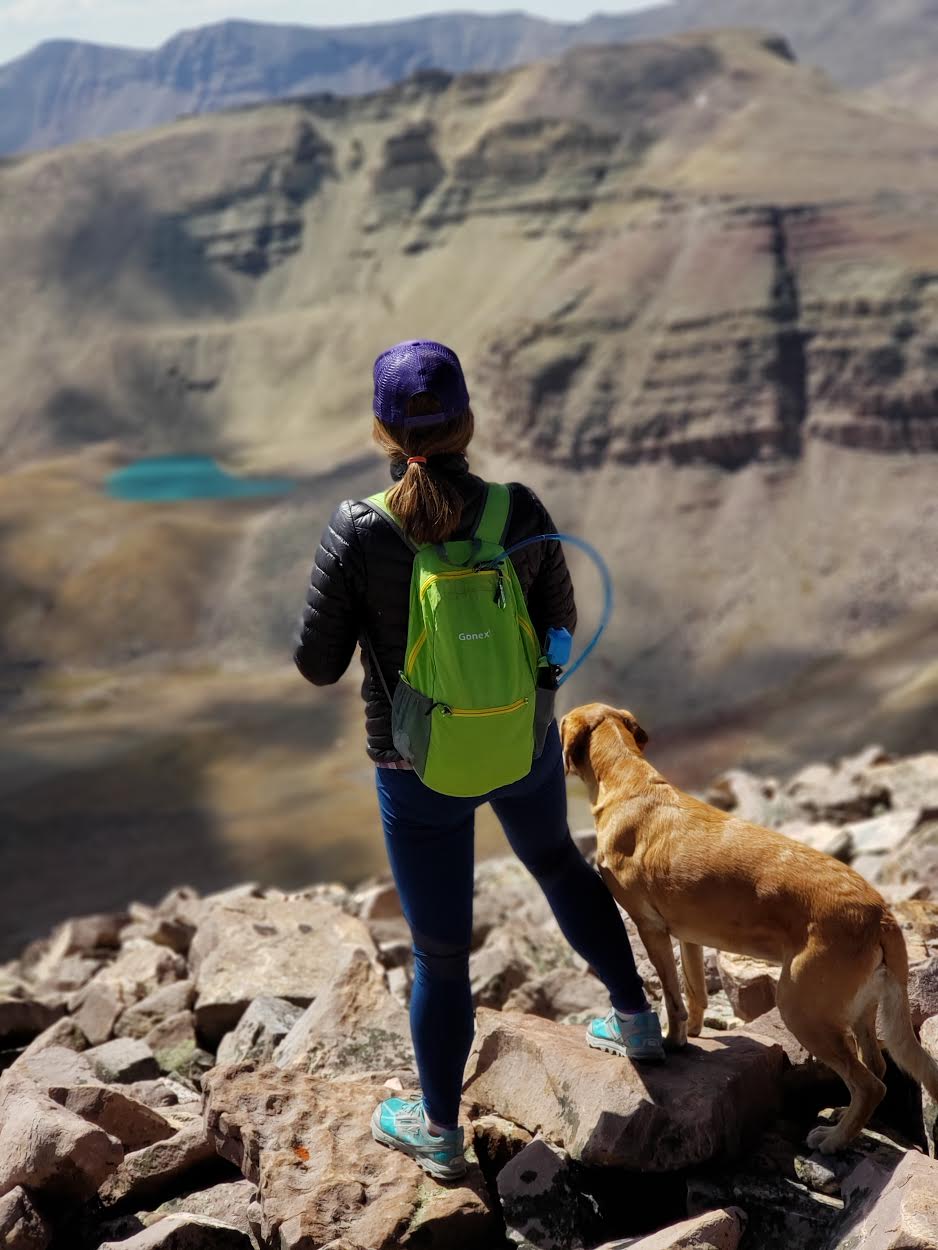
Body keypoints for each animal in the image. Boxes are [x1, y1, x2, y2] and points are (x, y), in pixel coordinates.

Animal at [562, 705, 938, 1150]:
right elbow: (695, 992)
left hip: (800, 1007)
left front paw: (672, 1042)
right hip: (860, 1010)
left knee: (869, 1084)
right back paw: (844, 1120)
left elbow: (672, 996)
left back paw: (834, 1139)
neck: (628, 778)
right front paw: (694, 1033)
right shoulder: (688, 936)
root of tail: (881, 914)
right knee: (877, 1067)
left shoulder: (650, 927)